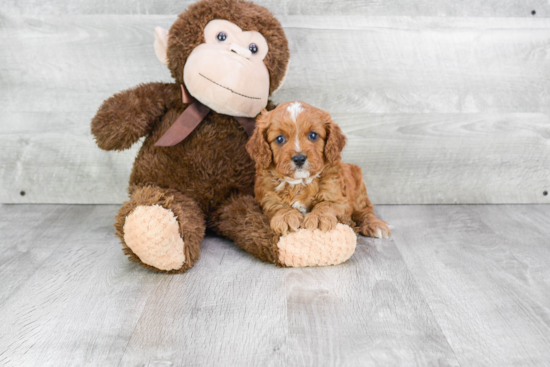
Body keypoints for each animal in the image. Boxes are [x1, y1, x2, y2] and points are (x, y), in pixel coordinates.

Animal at [246, 101, 392, 239]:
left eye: (313, 135)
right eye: (280, 139)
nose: (299, 158)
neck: (300, 182)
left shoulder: (339, 198)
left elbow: (326, 204)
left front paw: (318, 217)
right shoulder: (267, 198)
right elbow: (277, 205)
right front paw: (286, 216)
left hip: (358, 191)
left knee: (365, 210)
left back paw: (375, 225)